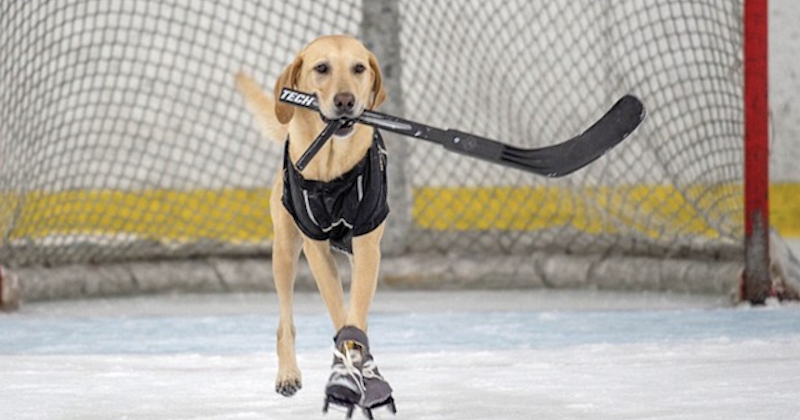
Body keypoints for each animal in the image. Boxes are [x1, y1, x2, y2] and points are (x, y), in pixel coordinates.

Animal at [234, 34, 396, 416]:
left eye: (358, 68)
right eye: (321, 68)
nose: (346, 101)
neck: (331, 169)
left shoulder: (367, 246)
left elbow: (355, 314)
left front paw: (365, 373)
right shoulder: (315, 247)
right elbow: (340, 313)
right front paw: (346, 374)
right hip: (284, 251)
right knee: (285, 321)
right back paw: (288, 374)